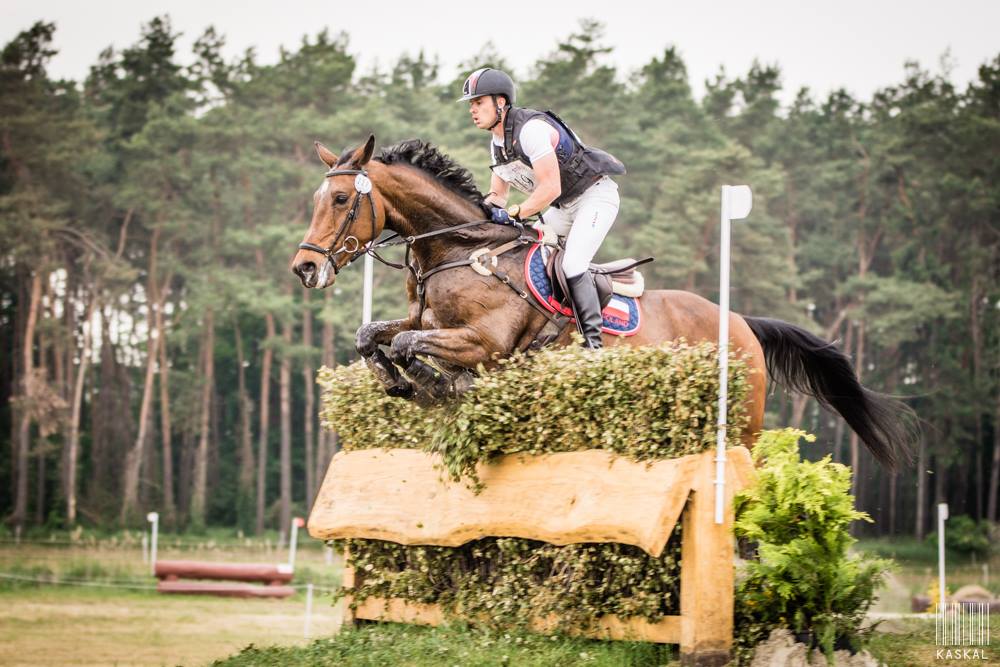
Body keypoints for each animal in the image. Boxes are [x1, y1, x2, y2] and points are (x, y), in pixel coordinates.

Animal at [290, 135, 915, 468]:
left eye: (341, 199)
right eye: (317, 197)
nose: (305, 268)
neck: (459, 249)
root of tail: (741, 323)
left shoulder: (484, 344)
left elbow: (407, 342)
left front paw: (431, 384)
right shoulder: (426, 319)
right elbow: (375, 335)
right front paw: (398, 382)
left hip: (744, 422)